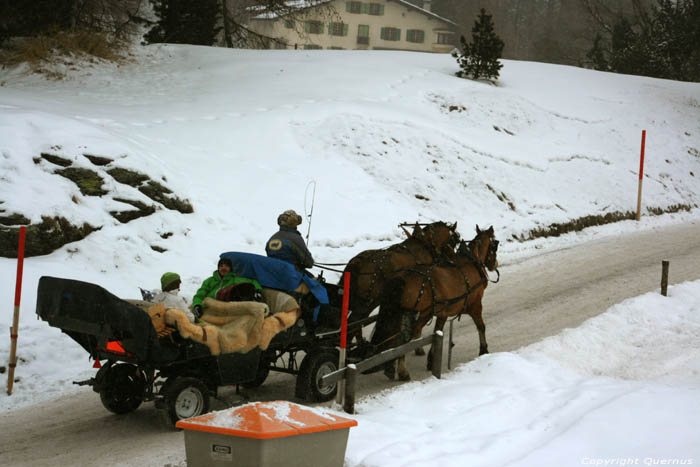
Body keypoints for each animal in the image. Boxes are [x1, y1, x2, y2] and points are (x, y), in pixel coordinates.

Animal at [372, 225, 498, 382]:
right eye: (495, 245)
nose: (495, 264)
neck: (471, 261)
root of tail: (402, 277)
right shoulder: (475, 305)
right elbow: (481, 326)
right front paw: (483, 349)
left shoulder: (441, 313)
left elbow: (436, 333)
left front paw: (431, 360)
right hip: (416, 316)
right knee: (404, 341)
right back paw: (403, 371)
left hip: (408, 315)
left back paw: (390, 367)